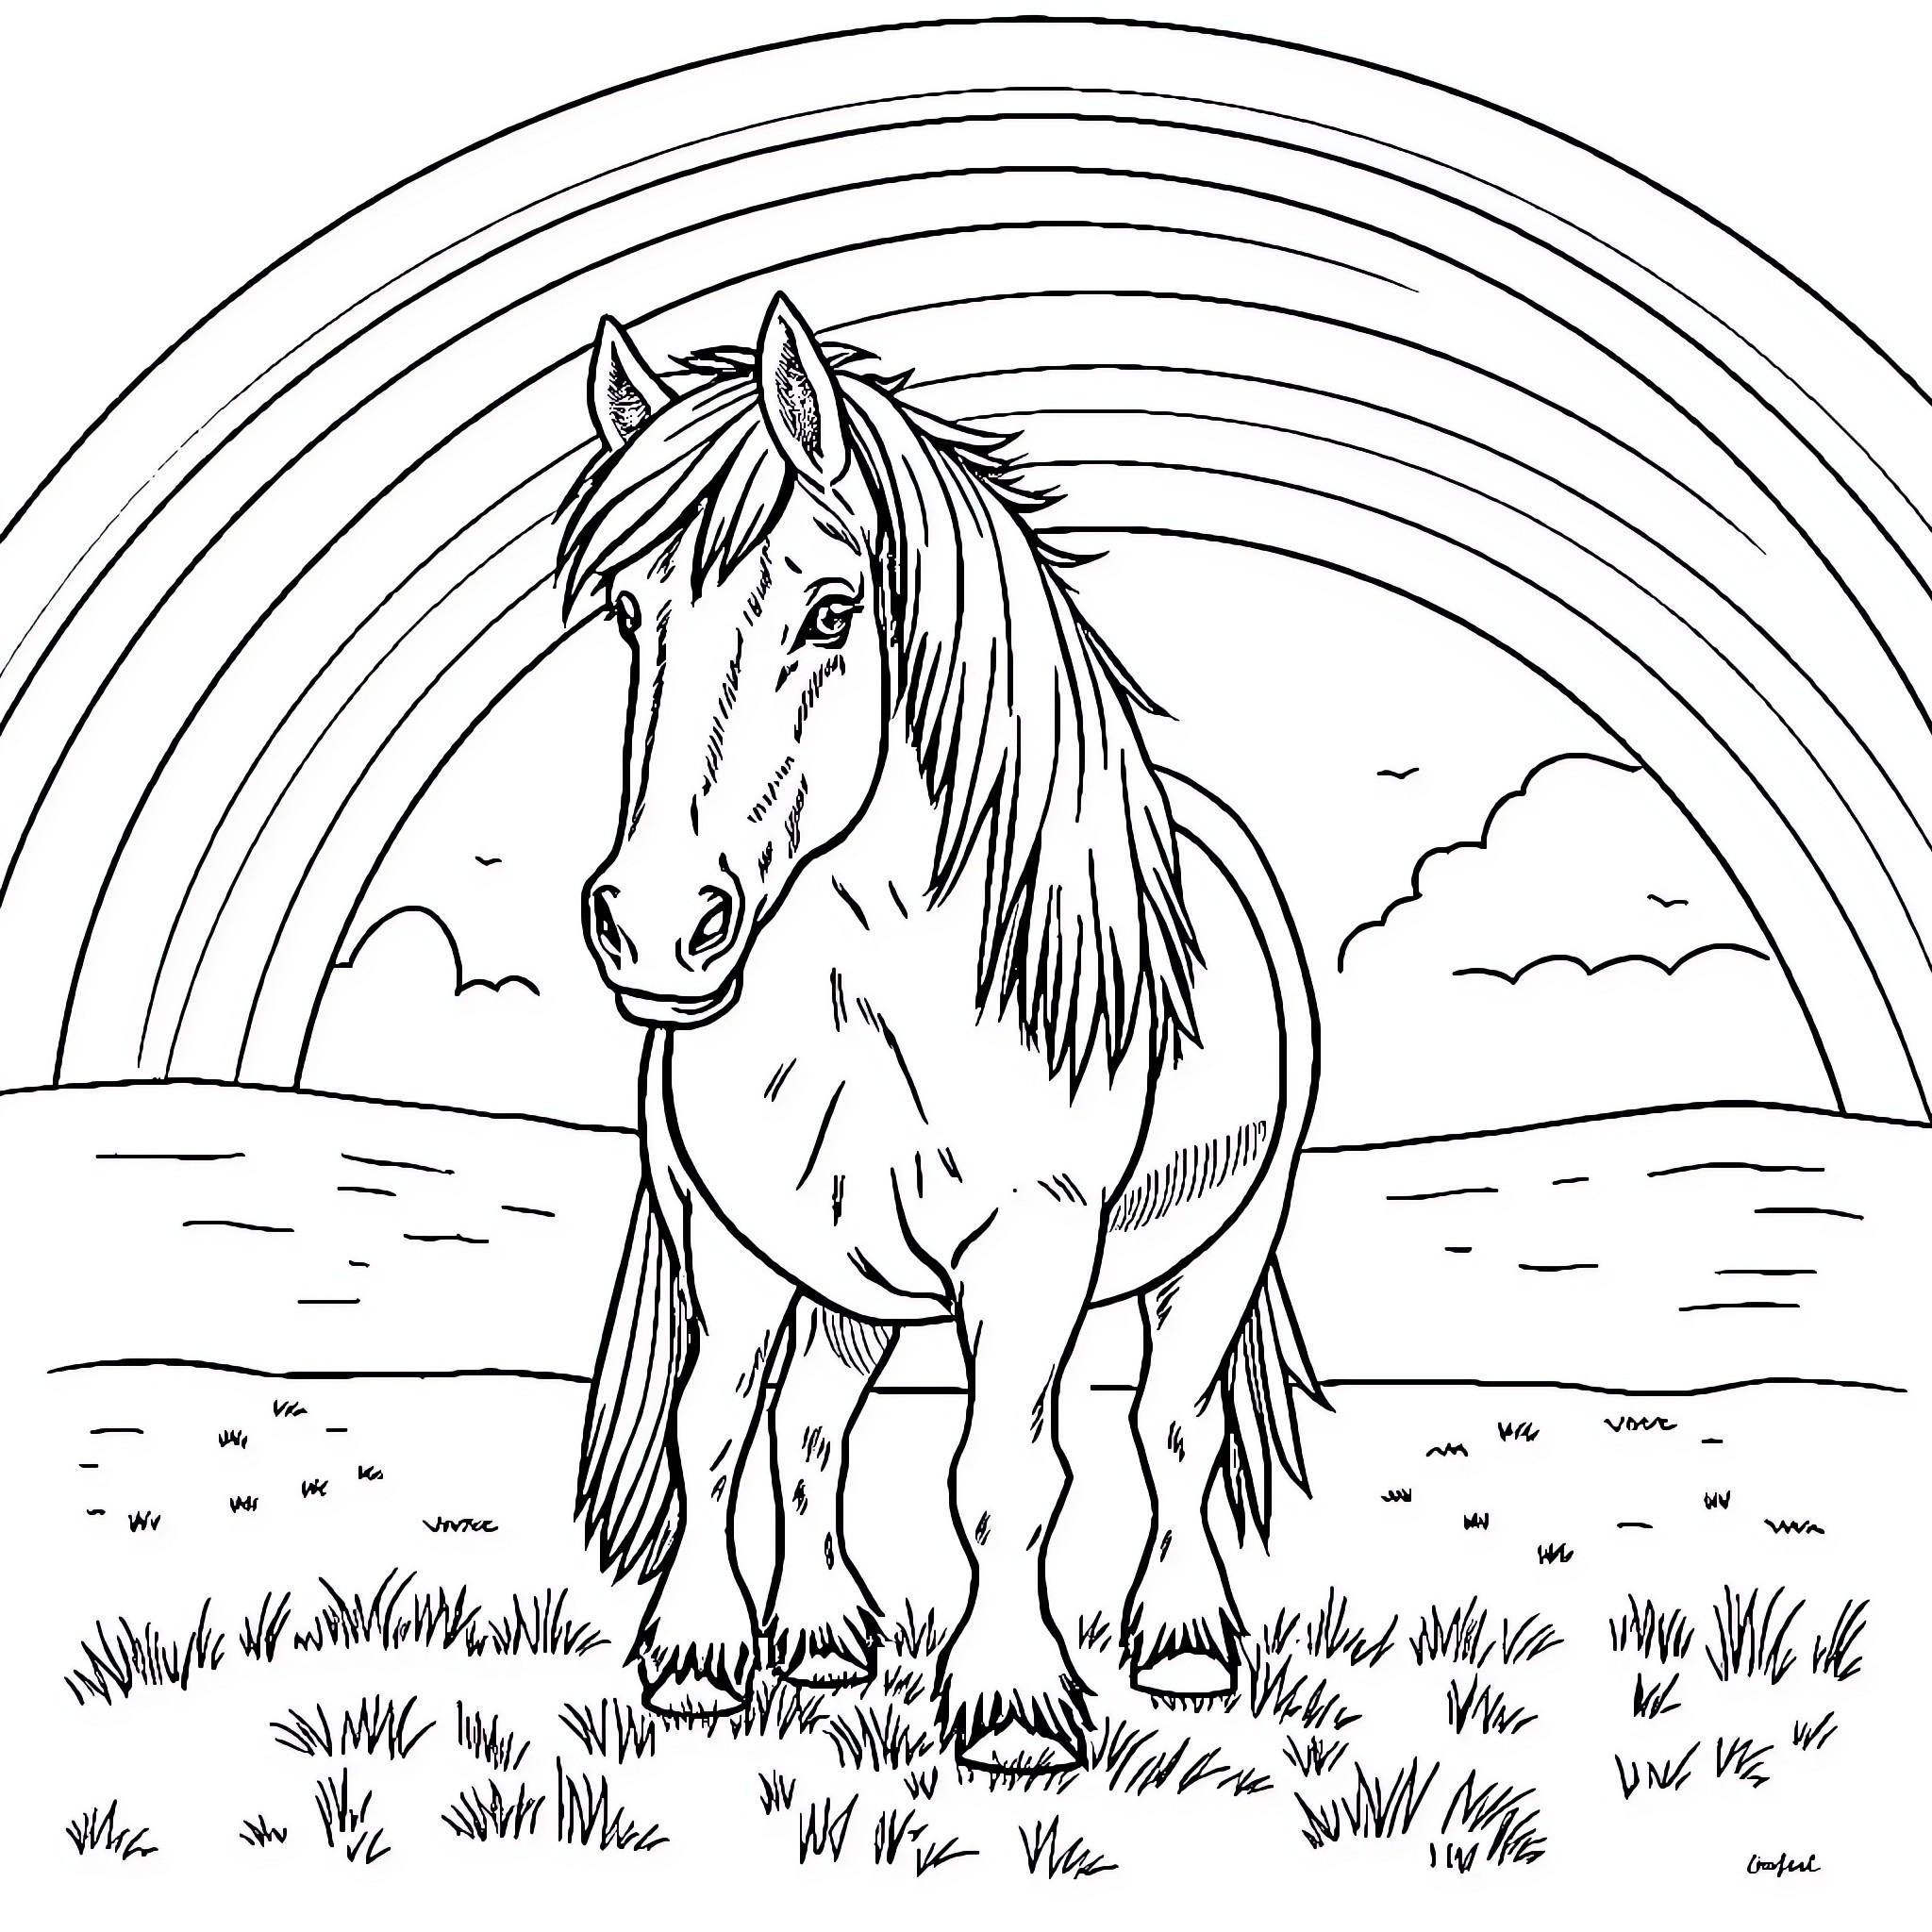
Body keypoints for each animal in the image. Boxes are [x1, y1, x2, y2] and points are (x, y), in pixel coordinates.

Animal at [560, 294, 1323, 1771]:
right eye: (629, 613)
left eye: (831, 608)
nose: (655, 927)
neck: (861, 1006)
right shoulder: (734, 1237)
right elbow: (716, 1427)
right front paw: (696, 1659)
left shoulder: (1030, 1250)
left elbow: (1008, 1473)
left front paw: (1013, 1709)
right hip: (844, 1277)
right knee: (812, 1421)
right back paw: (818, 1641)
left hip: (1221, 1245)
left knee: (1173, 1423)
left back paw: (1184, 1643)